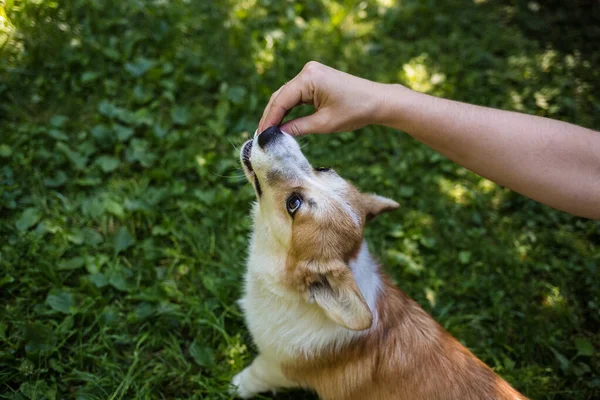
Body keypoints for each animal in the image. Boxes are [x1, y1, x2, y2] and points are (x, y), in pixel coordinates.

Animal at [232, 126, 528, 400]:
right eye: (323, 167)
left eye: (293, 203)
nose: (270, 132)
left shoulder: (276, 366)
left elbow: (255, 374)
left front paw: (236, 386)